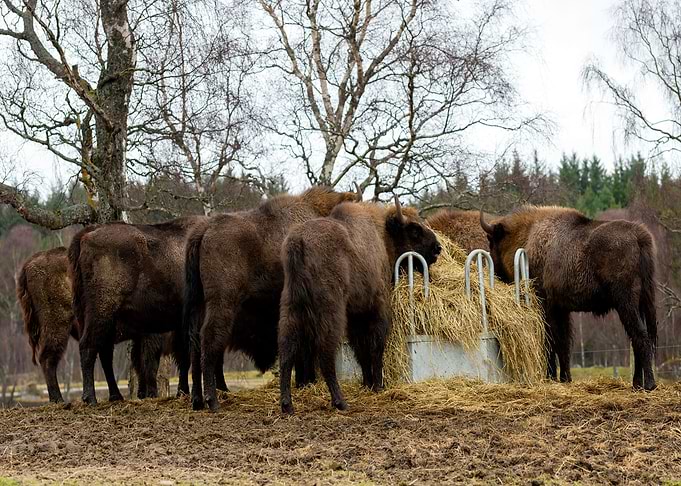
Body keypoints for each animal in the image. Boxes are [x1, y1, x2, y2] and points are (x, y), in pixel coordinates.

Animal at [16, 247, 176, 402]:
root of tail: (28, 265)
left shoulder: (140, 336)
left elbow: (138, 362)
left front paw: (143, 394)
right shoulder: (151, 334)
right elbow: (149, 364)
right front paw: (152, 394)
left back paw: (115, 395)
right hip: (58, 325)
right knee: (48, 357)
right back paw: (59, 399)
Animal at [185, 186, 360, 411]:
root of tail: (205, 229)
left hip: (198, 302)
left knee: (194, 342)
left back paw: (197, 400)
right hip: (222, 301)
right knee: (209, 339)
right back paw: (213, 401)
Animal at [278, 196, 441, 414]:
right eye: (414, 230)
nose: (437, 248)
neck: (382, 237)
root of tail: (298, 242)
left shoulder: (357, 315)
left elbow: (361, 350)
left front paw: (368, 383)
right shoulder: (377, 307)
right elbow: (375, 347)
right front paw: (378, 385)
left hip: (291, 307)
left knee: (286, 350)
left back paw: (287, 404)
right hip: (332, 310)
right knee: (325, 353)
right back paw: (340, 402)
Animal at [480, 206, 657, 390]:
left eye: (492, 241)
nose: (495, 273)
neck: (529, 235)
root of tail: (639, 236)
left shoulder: (547, 307)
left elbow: (551, 342)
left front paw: (550, 377)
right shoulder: (562, 310)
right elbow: (564, 343)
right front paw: (565, 378)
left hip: (625, 303)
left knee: (640, 337)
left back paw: (648, 384)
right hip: (641, 302)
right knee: (639, 338)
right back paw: (637, 383)